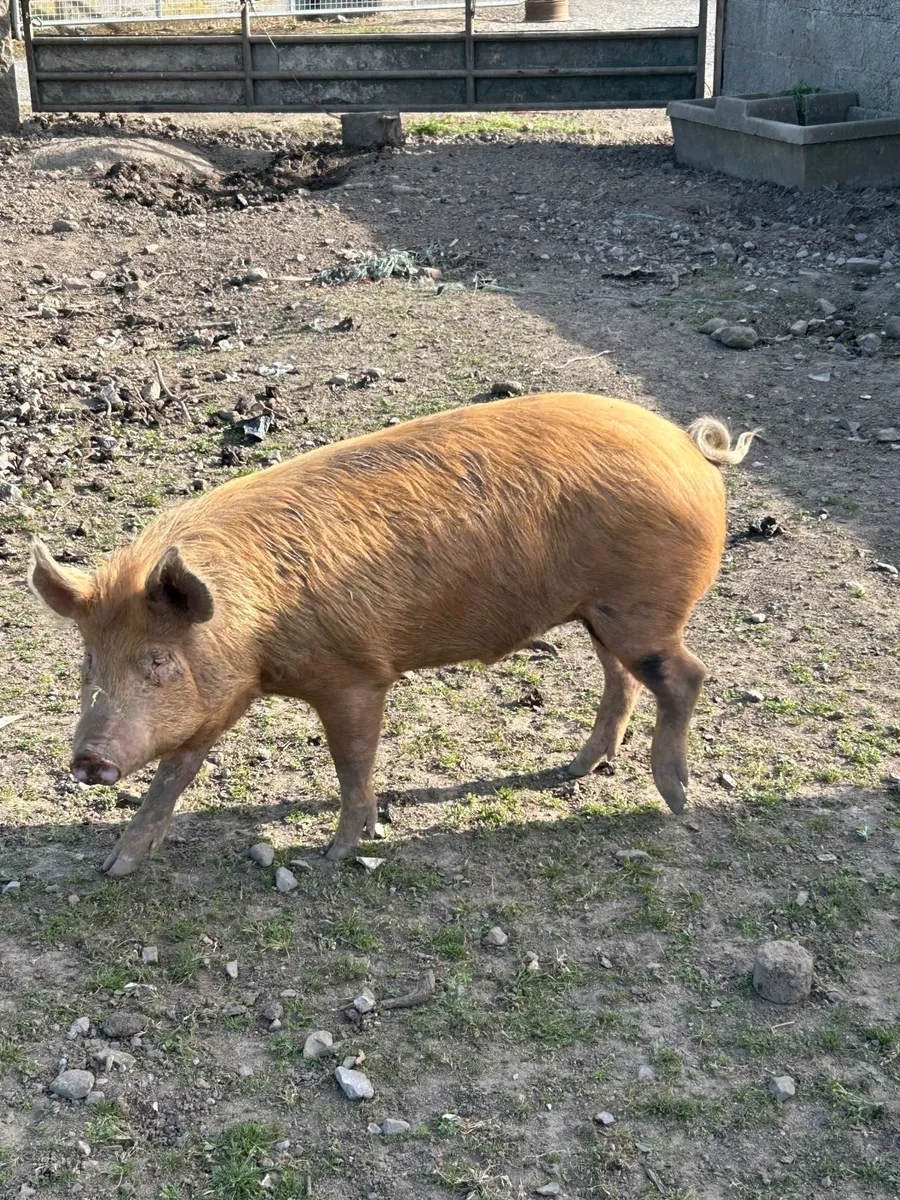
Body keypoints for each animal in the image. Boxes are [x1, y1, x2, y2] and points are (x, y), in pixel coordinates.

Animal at [29, 392, 757, 877]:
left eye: (158, 660)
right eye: (87, 662)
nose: (88, 759)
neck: (255, 629)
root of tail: (691, 449)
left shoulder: (354, 674)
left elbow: (351, 762)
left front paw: (334, 853)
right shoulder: (218, 699)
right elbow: (174, 774)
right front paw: (116, 866)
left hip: (642, 610)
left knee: (686, 677)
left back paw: (676, 799)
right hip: (601, 613)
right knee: (623, 681)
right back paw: (577, 769)